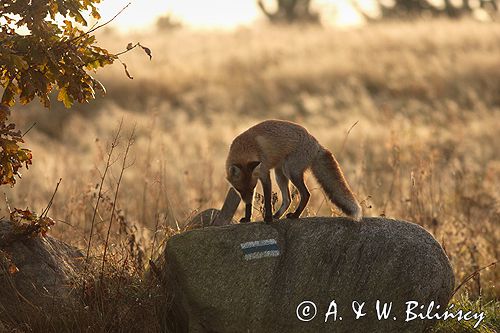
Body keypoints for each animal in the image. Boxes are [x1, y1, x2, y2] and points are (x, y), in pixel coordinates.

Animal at [225, 119, 362, 223]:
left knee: (306, 194)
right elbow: (250, 205)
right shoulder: (257, 177)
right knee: (288, 200)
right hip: (279, 174)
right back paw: (277, 216)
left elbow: (268, 200)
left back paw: (295, 215)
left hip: (290, 171)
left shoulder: (264, 174)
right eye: (240, 190)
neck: (246, 148)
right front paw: (248, 218)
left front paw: (268, 218)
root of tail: (316, 144)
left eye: (251, 188)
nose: (247, 200)